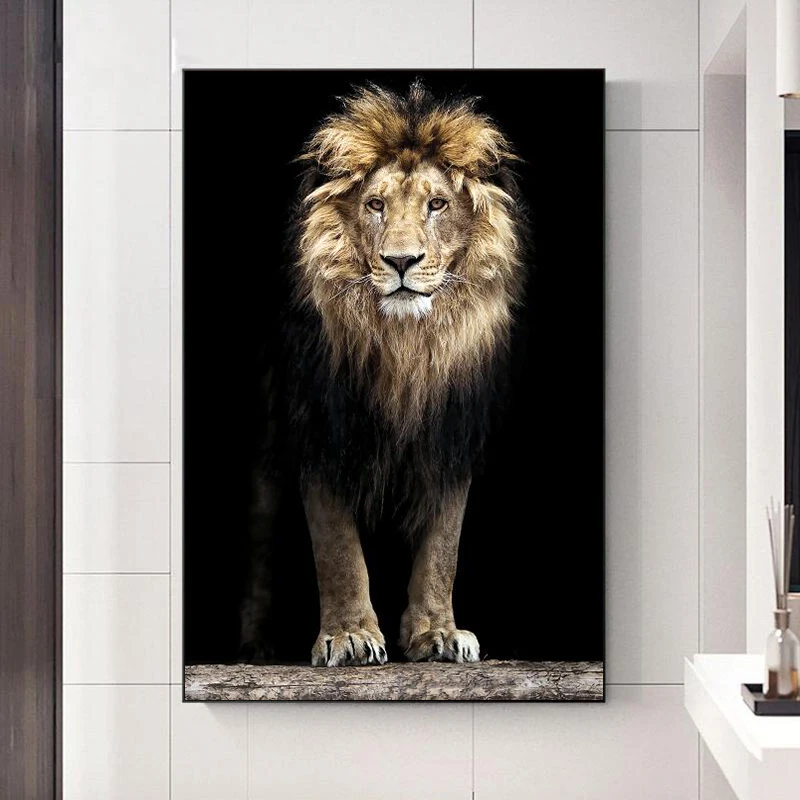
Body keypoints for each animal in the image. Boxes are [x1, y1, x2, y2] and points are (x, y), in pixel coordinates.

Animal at [240, 80, 528, 667]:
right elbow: (337, 548)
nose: (400, 261)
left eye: (437, 204)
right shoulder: (322, 426)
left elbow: (443, 546)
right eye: (375, 205)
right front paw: (350, 635)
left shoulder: (451, 433)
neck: (406, 347)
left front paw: (438, 633)